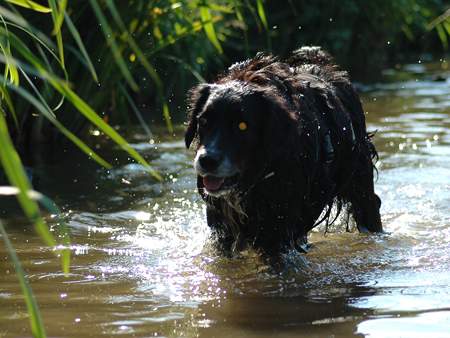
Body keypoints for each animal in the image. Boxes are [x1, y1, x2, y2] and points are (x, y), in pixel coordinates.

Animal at [185, 45, 382, 256]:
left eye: (242, 126)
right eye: (204, 121)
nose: (207, 160)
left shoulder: (278, 227)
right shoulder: (222, 228)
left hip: (361, 188)